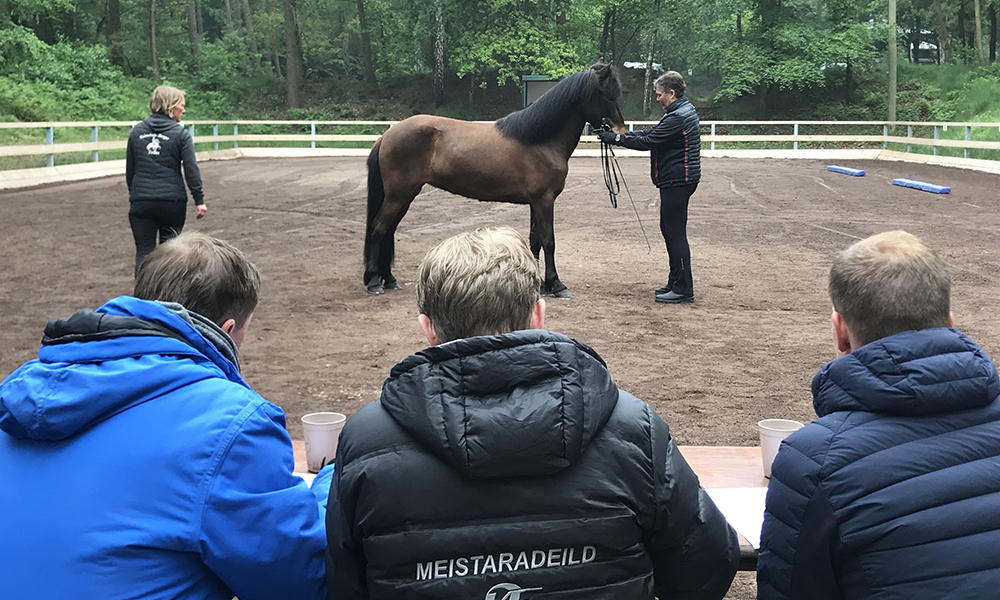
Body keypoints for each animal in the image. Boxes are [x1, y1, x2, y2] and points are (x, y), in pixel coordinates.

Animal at [360, 60, 624, 296]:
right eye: (606, 95)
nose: (619, 131)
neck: (541, 140)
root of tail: (387, 135)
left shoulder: (536, 202)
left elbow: (535, 241)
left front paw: (540, 285)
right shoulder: (544, 200)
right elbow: (549, 241)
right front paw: (556, 285)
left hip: (405, 195)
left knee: (388, 231)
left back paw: (389, 279)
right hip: (398, 195)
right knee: (378, 229)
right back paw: (374, 282)